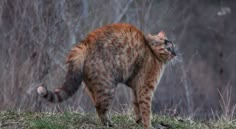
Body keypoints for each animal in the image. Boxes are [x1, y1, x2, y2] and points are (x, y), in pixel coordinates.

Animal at [37, 22, 176, 128]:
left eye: (173, 47)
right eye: (167, 48)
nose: (175, 53)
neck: (152, 54)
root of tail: (86, 42)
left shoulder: (136, 90)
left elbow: (137, 107)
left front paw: (139, 122)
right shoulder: (145, 89)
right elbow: (146, 111)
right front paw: (148, 125)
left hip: (93, 87)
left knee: (96, 104)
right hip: (107, 88)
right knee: (100, 107)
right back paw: (109, 124)